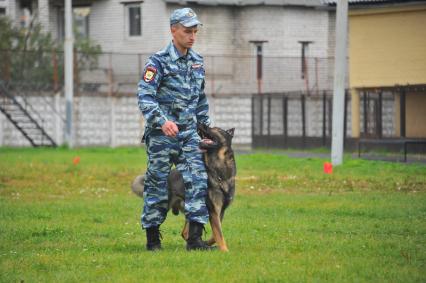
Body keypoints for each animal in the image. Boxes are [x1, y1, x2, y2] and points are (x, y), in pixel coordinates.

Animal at [131, 125, 236, 253]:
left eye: (215, 128)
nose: (200, 124)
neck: (218, 169)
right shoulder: (213, 211)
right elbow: (219, 234)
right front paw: (225, 251)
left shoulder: (220, 211)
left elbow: (215, 234)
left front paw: (209, 243)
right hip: (162, 204)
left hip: (192, 207)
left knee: (185, 232)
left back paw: (194, 244)